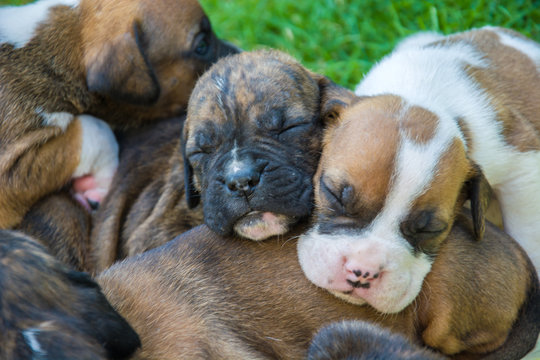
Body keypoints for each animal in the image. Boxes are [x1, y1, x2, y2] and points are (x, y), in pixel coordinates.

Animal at [298, 26, 540, 316]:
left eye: (430, 230)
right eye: (333, 194)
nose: (364, 271)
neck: (423, 97)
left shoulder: (523, 162)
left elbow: (529, 233)